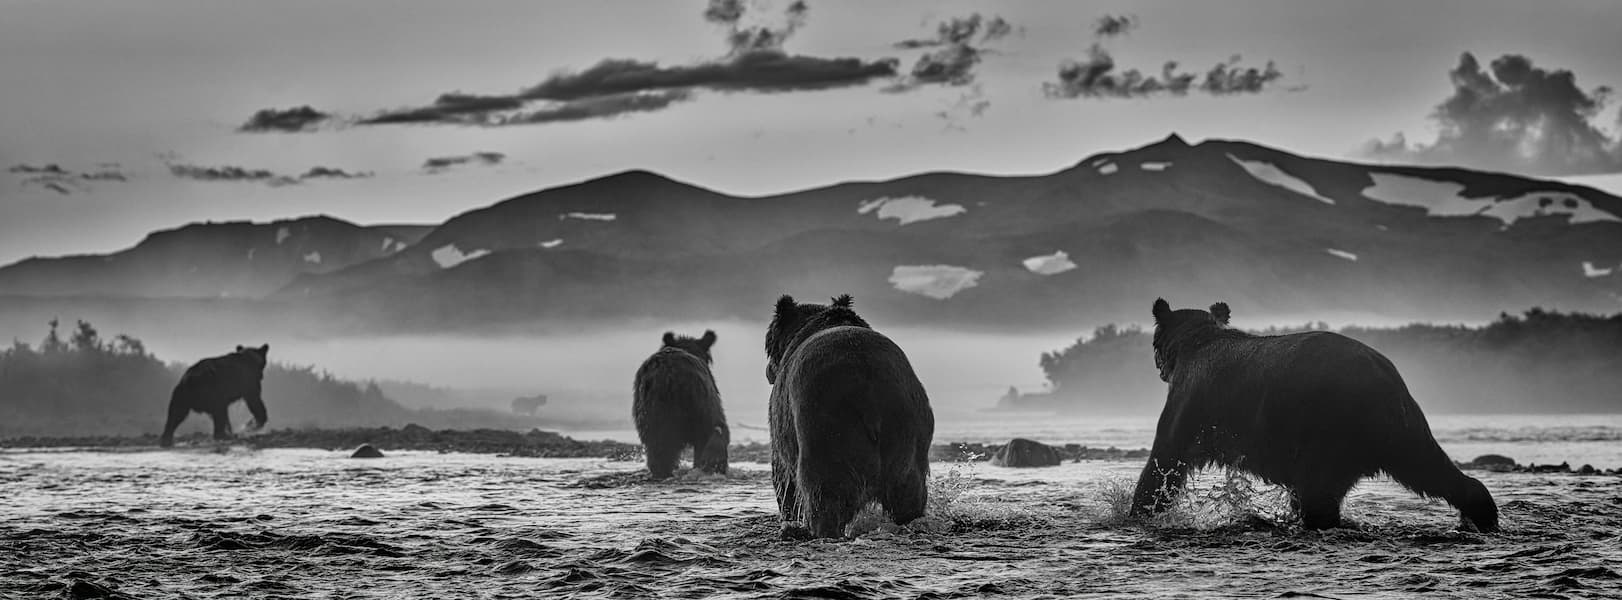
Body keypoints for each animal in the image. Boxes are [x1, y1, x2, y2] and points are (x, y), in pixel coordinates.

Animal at [764, 294, 936, 538]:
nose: (769, 371)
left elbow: (783, 479)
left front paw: (790, 520)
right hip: (908, 430)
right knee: (908, 496)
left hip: (825, 426)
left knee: (823, 496)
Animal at [1130, 298, 1499, 532]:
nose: (1159, 370)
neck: (1191, 346)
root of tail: (1385, 379)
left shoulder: (1196, 403)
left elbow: (1165, 460)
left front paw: (1138, 511)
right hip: (1402, 428)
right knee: (1431, 469)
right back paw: (1481, 515)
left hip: (1326, 425)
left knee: (1317, 494)